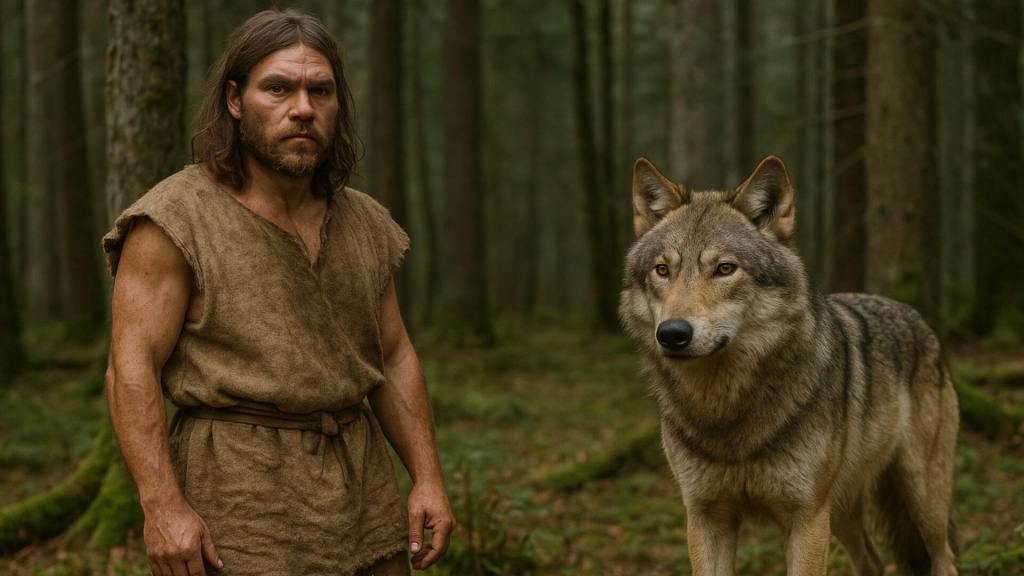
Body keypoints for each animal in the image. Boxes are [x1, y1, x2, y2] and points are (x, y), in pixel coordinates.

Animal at [619, 156, 959, 576]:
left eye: (725, 269)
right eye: (662, 270)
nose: (672, 333)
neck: (726, 411)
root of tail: (916, 315)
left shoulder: (806, 518)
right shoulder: (705, 517)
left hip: (920, 497)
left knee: (945, 558)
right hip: (842, 511)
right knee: (873, 562)